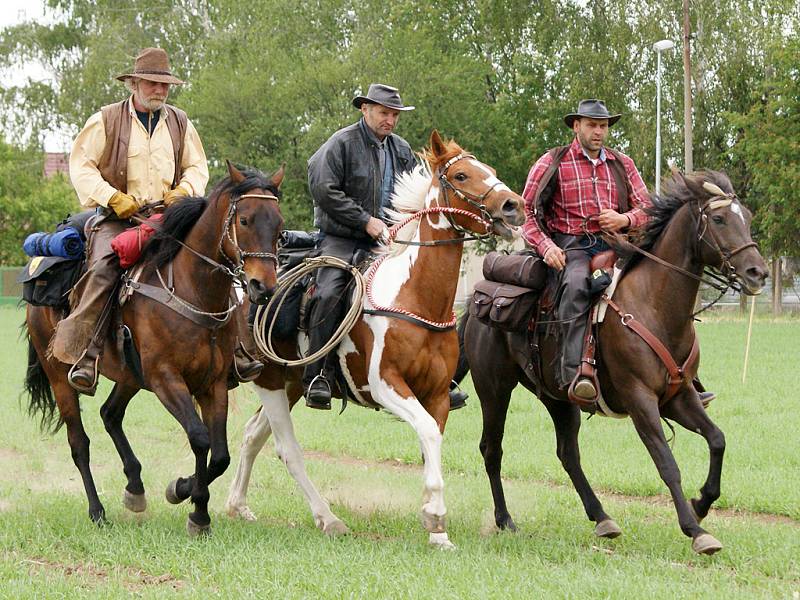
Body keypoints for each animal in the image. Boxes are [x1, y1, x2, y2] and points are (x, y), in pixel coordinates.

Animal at [23, 161, 286, 536]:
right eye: (245, 220)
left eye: (279, 227)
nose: (262, 286)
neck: (192, 290)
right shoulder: (166, 379)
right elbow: (200, 438)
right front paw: (194, 507)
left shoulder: (213, 384)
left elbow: (220, 455)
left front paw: (187, 494)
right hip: (60, 376)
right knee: (79, 443)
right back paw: (97, 511)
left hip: (130, 375)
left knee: (110, 414)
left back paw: (135, 489)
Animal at [225, 131, 524, 548]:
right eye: (461, 175)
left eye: (490, 170)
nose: (514, 206)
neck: (415, 297)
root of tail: (249, 289)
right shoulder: (387, 386)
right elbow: (427, 433)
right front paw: (434, 515)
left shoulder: (436, 395)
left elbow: (431, 439)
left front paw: (438, 532)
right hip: (269, 381)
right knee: (286, 449)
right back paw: (328, 518)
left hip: (290, 384)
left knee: (254, 435)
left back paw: (238, 505)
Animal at [456, 171, 768, 556]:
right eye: (721, 219)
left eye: (748, 218)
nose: (757, 272)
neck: (653, 307)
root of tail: (478, 300)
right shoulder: (640, 401)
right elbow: (667, 464)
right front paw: (695, 529)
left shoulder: (679, 398)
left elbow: (718, 440)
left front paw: (702, 503)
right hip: (494, 389)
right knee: (492, 449)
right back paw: (505, 520)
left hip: (557, 398)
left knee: (568, 454)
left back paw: (601, 517)